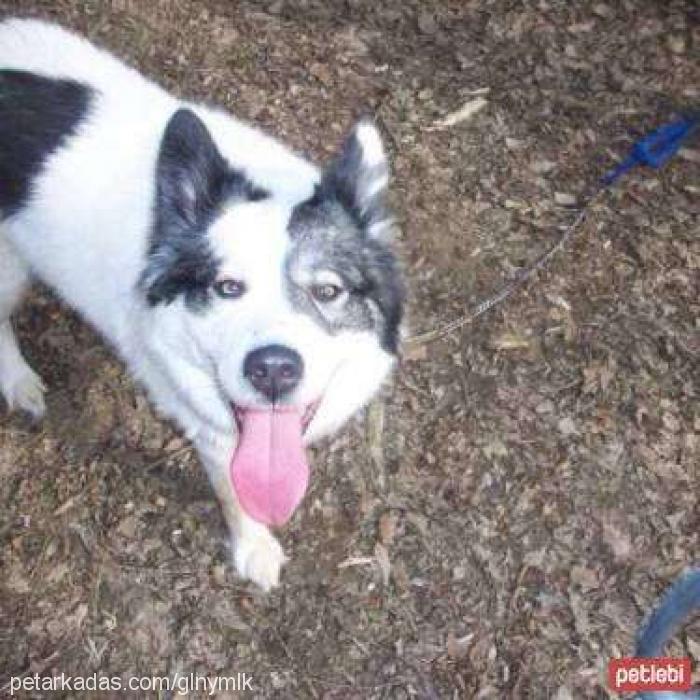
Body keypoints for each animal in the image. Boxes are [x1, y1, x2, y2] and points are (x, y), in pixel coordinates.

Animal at [0, 19, 404, 592]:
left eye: (327, 291)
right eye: (226, 287)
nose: (273, 370)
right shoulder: (210, 425)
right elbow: (234, 492)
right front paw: (254, 547)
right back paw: (18, 381)